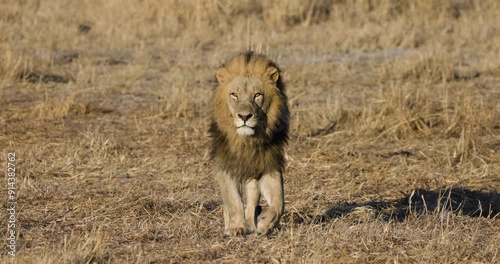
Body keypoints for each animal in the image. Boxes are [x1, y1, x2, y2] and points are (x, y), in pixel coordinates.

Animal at [209, 51, 290, 235]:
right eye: (234, 95)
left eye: (257, 95)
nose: (245, 116)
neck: (247, 141)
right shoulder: (226, 165)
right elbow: (233, 201)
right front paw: (236, 227)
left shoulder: (268, 164)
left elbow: (279, 201)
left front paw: (265, 223)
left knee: (252, 202)